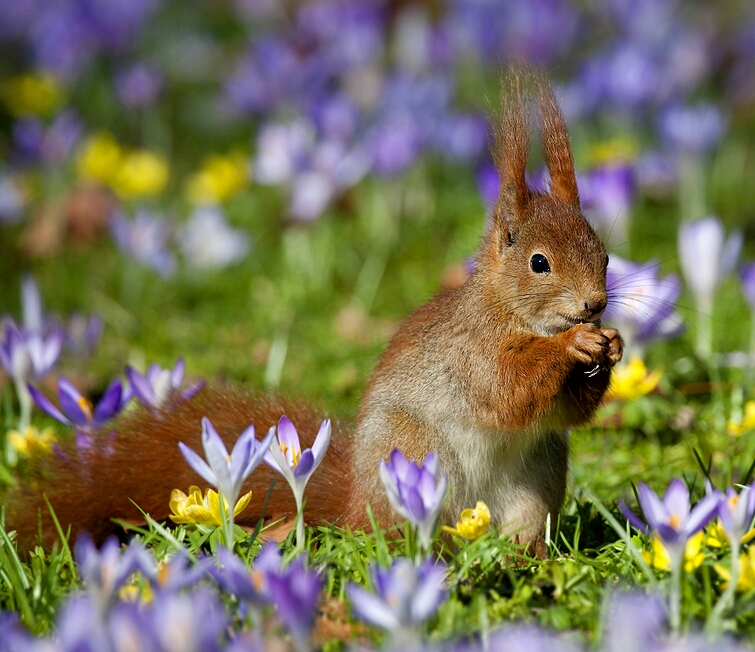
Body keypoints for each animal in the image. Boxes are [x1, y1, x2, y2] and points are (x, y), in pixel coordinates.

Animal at [5, 71, 624, 556]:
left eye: (603, 251)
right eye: (540, 263)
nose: (595, 304)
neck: (512, 311)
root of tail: (356, 503)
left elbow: (564, 411)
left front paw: (611, 344)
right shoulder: (474, 348)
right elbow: (507, 388)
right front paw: (572, 345)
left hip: (536, 483)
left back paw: (522, 559)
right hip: (415, 455)